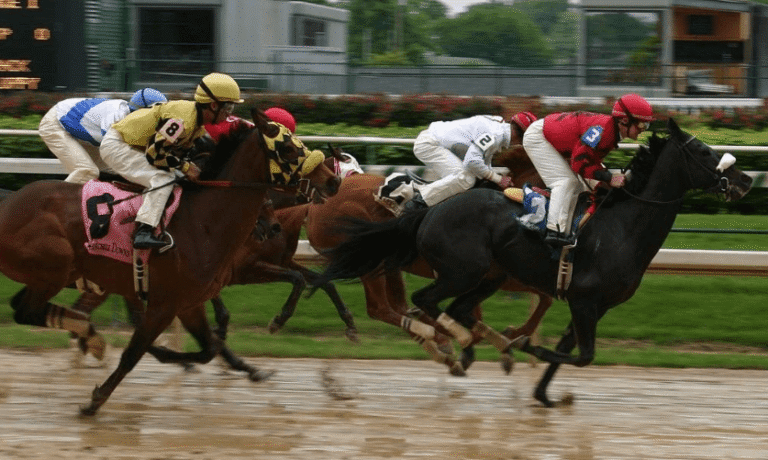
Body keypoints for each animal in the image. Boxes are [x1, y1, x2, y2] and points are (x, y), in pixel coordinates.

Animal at [0, 109, 341, 414]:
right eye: (287, 147)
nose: (332, 181)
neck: (202, 220)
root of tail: (9, 201)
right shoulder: (166, 303)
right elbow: (134, 352)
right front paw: (95, 401)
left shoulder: (189, 303)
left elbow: (208, 347)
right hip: (54, 268)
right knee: (27, 311)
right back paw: (89, 336)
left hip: (55, 275)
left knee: (28, 308)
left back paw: (91, 337)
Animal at [302, 144, 554, 375]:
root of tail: (314, 209)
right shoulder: (500, 275)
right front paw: (506, 339)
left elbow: (544, 298)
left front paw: (509, 338)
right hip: (369, 259)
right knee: (380, 308)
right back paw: (437, 337)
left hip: (385, 262)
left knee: (397, 306)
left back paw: (438, 340)